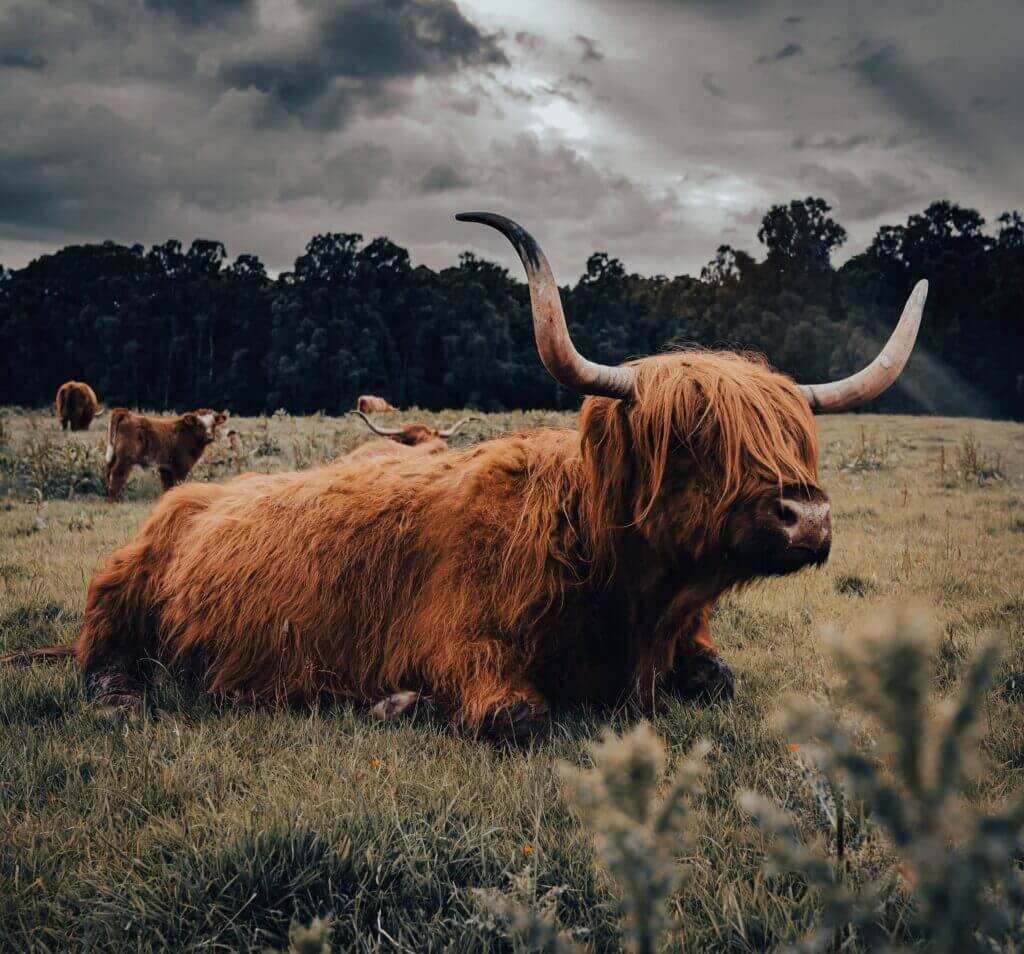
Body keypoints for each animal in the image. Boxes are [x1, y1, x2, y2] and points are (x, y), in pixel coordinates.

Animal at [7, 213, 926, 744]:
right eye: (694, 437)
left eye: (797, 437)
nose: (807, 517)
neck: (625, 598)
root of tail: (188, 498)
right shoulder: (468, 651)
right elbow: (520, 718)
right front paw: (397, 704)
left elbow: (722, 683)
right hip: (117, 598)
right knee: (104, 667)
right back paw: (132, 699)